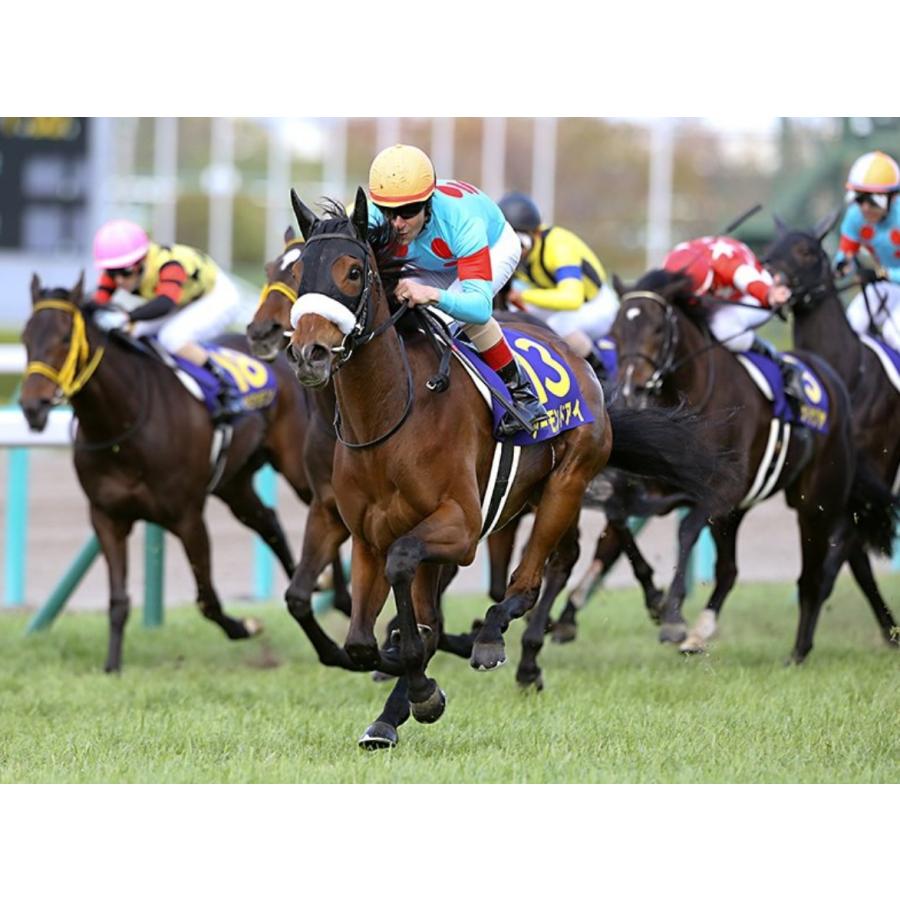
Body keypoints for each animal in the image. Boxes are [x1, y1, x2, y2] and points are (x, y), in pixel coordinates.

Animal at [19, 274, 313, 672]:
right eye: (25, 336)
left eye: (65, 337)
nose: (31, 406)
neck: (124, 424)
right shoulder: (106, 516)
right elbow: (118, 600)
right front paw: (112, 667)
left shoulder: (187, 517)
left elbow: (208, 601)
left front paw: (246, 625)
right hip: (234, 482)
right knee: (269, 522)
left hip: (297, 467)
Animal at [282, 189, 729, 749]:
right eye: (300, 273)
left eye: (354, 271)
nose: (310, 353)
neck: (390, 415)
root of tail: (582, 366)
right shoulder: (365, 535)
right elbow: (366, 638)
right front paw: (406, 688)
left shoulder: (461, 528)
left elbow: (407, 585)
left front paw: (424, 683)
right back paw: (397, 709)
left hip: (565, 484)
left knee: (532, 576)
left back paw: (495, 637)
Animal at [607, 268, 891, 662]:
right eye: (615, 331)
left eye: (659, 329)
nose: (630, 393)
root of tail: (831, 378)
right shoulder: (661, 487)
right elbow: (617, 515)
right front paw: (655, 600)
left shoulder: (723, 489)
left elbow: (686, 530)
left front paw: (673, 617)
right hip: (737, 514)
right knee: (730, 570)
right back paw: (701, 634)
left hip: (815, 502)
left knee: (814, 573)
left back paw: (799, 651)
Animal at [763, 220, 900, 647]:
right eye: (771, 247)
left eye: (806, 251)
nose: (770, 276)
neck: (847, 373)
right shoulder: (847, 486)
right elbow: (856, 563)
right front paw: (890, 631)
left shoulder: (870, 475)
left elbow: (838, 556)